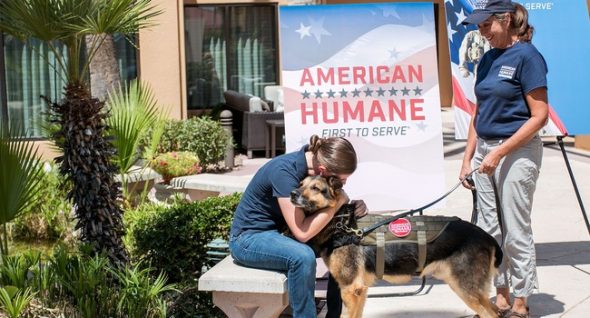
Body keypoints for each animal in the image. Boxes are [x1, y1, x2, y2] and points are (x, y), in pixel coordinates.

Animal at [292, 176, 504, 318]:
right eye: (301, 184)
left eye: (316, 188)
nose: (292, 193)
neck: (341, 223)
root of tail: (487, 236)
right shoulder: (360, 291)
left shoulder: (350, 289)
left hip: (465, 289)